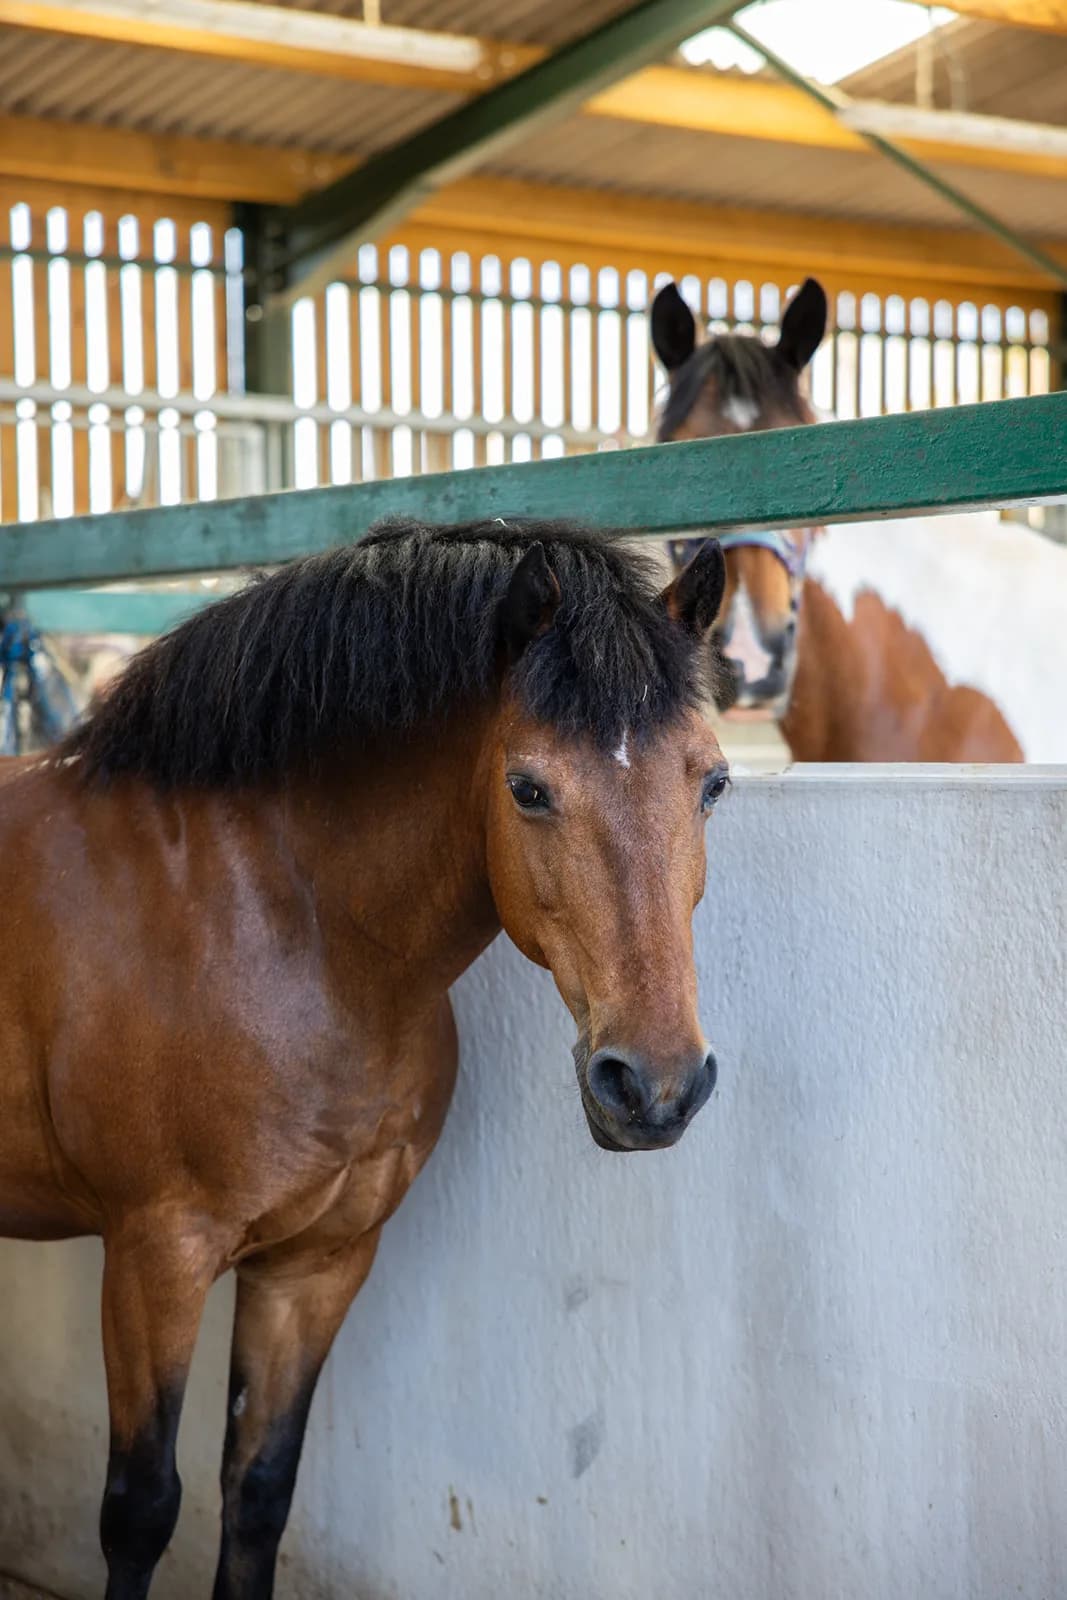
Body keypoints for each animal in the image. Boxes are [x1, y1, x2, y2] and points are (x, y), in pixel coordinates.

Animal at [0, 519, 731, 1599]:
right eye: (528, 789)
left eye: (712, 782)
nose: (654, 1086)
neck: (284, 928)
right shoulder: (153, 1256)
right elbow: (140, 1510)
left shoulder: (317, 1263)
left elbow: (259, 1490)